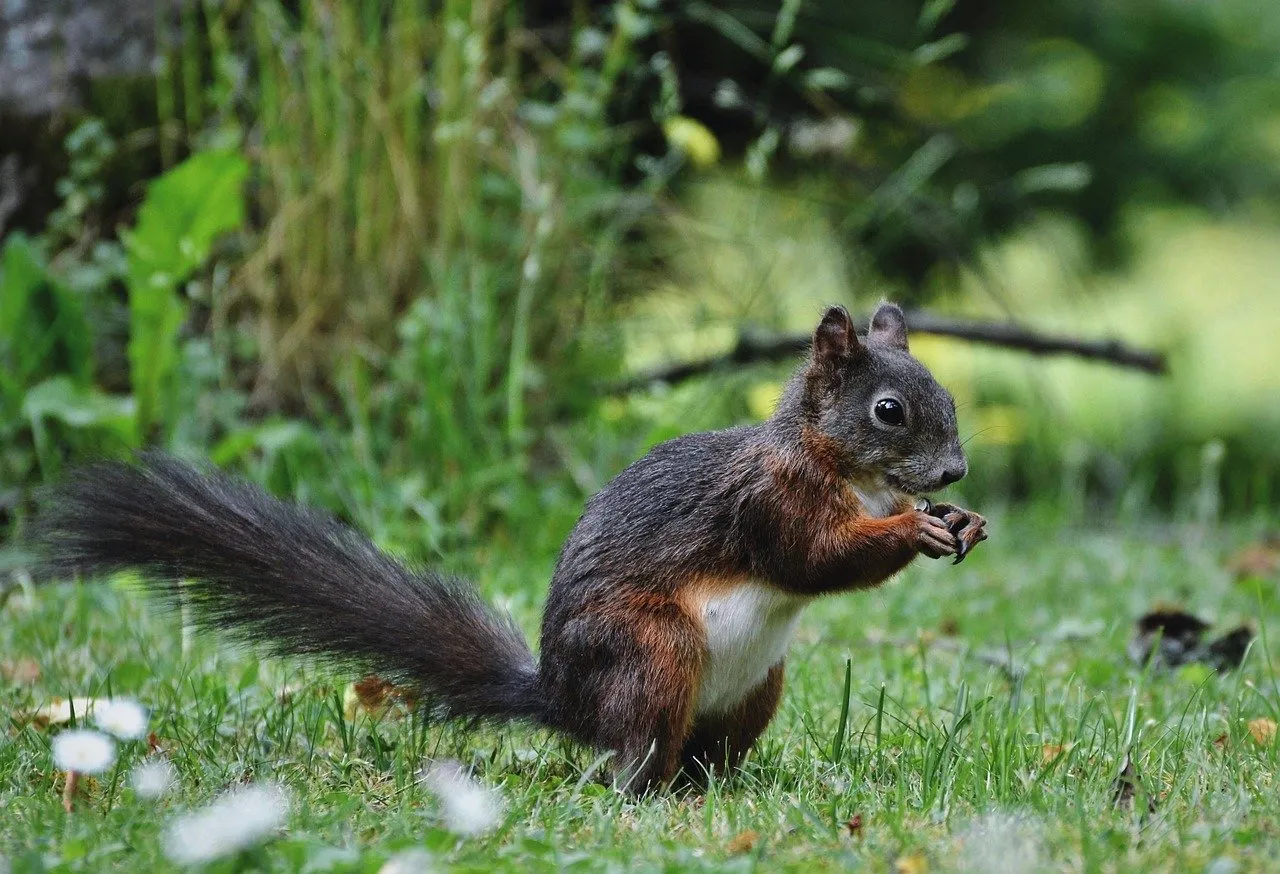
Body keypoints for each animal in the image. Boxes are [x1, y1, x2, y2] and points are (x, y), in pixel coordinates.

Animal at [32, 304, 988, 798]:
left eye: (944, 395)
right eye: (889, 411)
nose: (954, 468)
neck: (847, 472)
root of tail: (564, 701)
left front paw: (962, 520)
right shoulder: (769, 502)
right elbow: (811, 560)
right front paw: (912, 529)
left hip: (756, 687)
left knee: (700, 753)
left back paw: (718, 789)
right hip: (650, 651)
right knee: (631, 753)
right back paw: (646, 791)